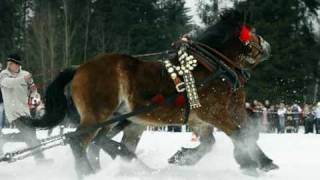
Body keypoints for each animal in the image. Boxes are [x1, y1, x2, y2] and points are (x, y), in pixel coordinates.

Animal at [29, 9, 278, 178]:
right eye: (254, 33)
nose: (268, 46)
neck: (210, 67)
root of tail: (79, 68)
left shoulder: (200, 120)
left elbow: (214, 142)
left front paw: (182, 158)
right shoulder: (215, 113)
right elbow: (239, 134)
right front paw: (255, 163)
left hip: (117, 119)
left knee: (96, 143)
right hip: (98, 116)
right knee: (78, 141)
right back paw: (90, 172)